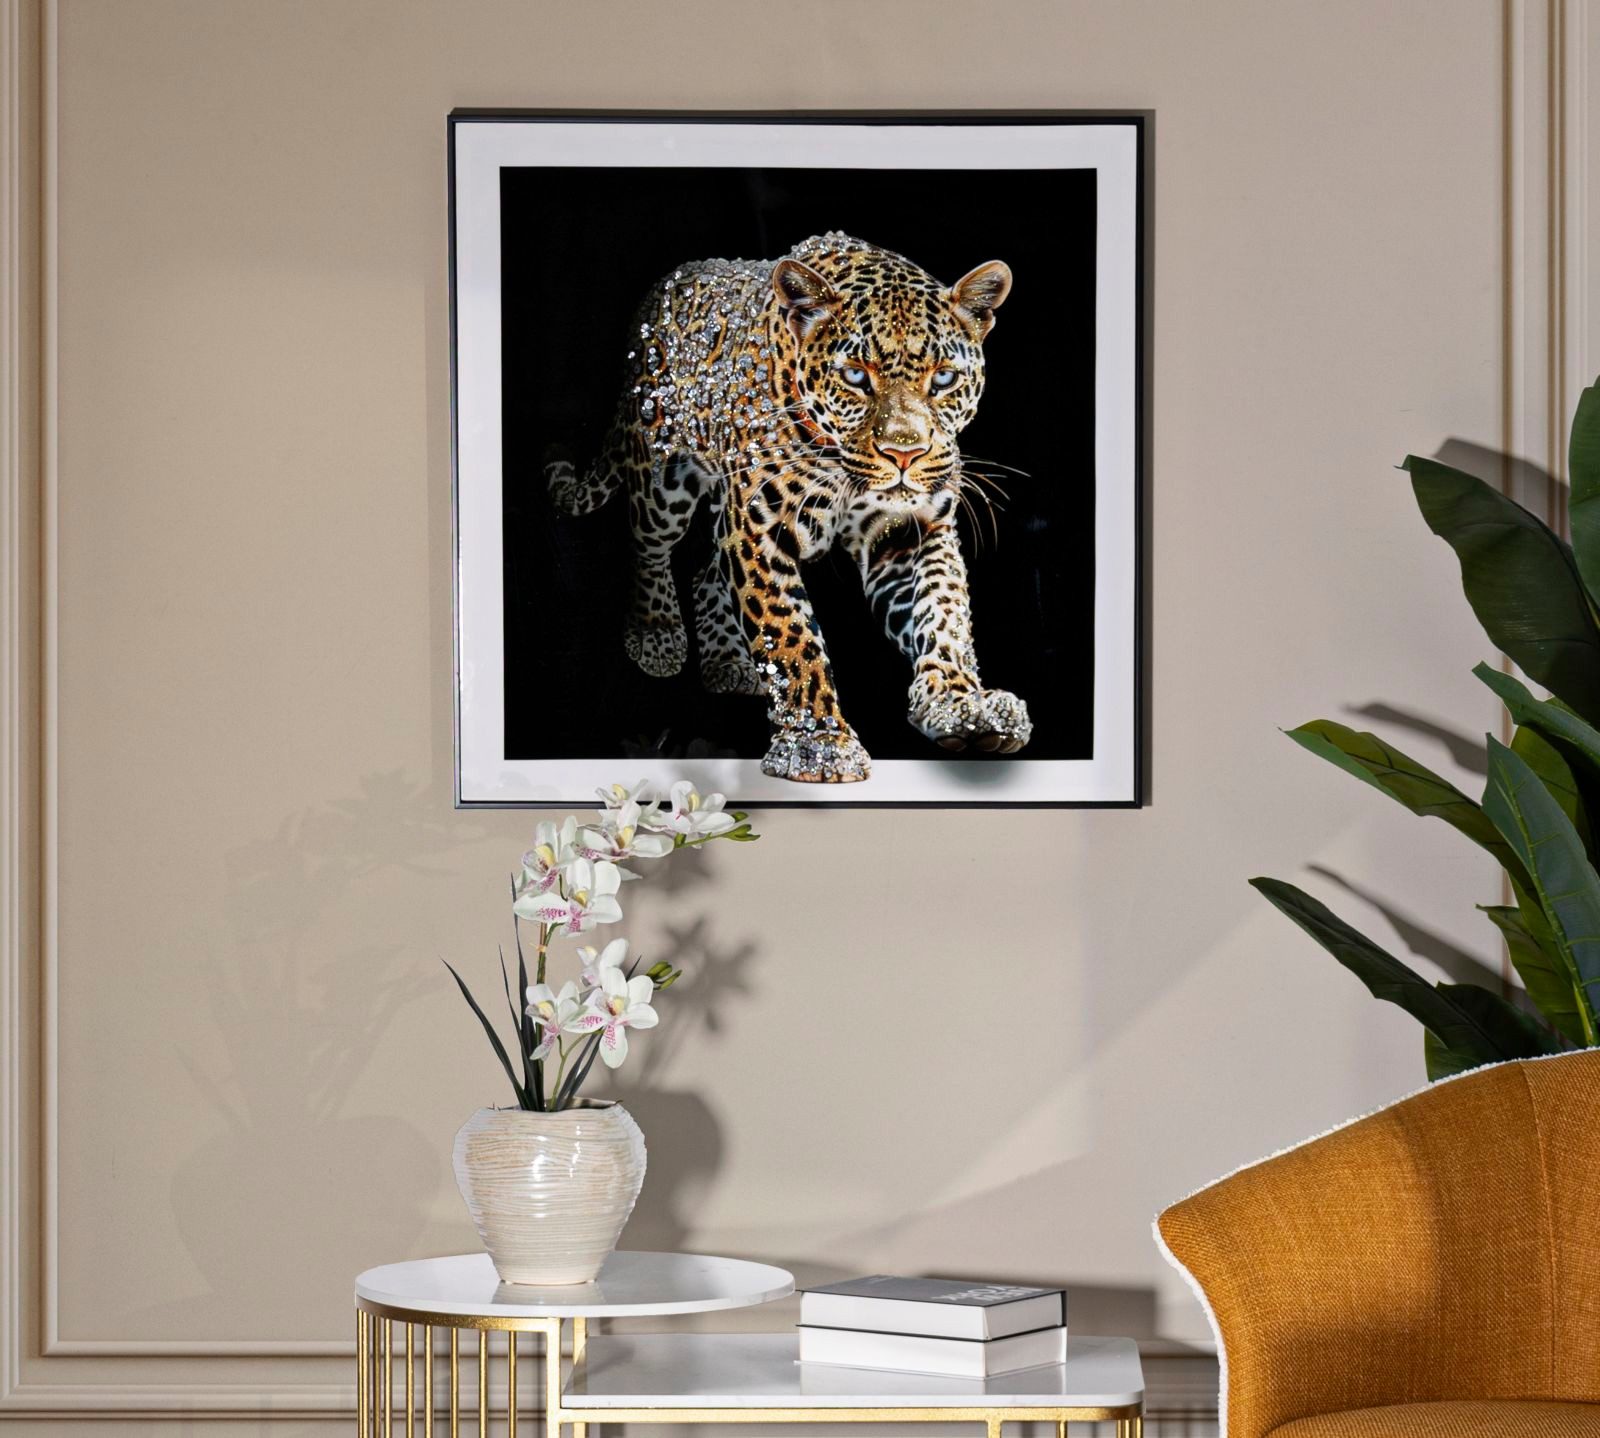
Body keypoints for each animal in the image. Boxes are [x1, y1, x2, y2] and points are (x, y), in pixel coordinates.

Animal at [546, 231, 1033, 784]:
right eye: (855, 376)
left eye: (945, 379)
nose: (904, 454)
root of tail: (666, 283)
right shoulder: (758, 528)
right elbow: (790, 634)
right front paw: (818, 743)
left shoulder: (910, 530)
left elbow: (943, 611)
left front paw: (961, 706)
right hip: (660, 473)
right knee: (648, 547)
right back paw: (657, 633)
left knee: (708, 569)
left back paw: (729, 662)